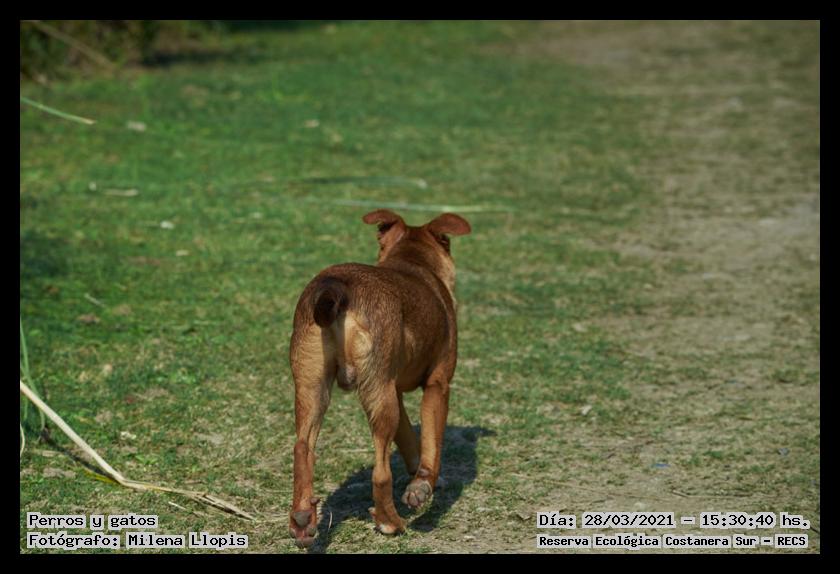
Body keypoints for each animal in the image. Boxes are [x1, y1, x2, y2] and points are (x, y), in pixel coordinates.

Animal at [287, 208, 471, 548]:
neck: (412, 263)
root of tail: (339, 286)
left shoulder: (394, 390)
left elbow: (410, 437)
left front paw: (417, 479)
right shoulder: (437, 385)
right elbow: (432, 443)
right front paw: (423, 485)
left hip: (312, 387)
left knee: (302, 448)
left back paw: (303, 519)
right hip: (378, 395)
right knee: (380, 471)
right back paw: (390, 522)